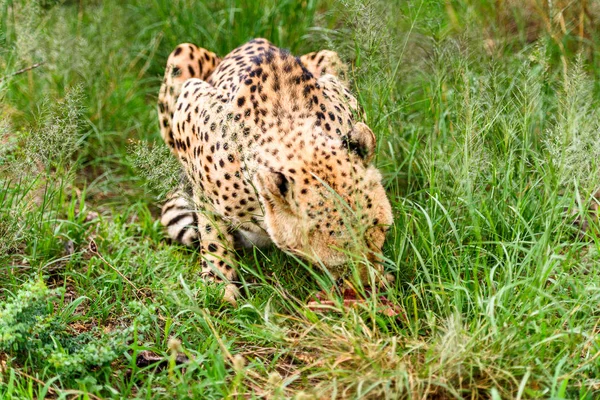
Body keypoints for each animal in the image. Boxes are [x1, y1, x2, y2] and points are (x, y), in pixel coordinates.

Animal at [157, 39, 396, 304]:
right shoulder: (190, 104)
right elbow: (211, 229)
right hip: (181, 55)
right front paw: (219, 281)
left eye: (381, 233)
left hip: (328, 56)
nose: (368, 286)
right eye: (339, 260)